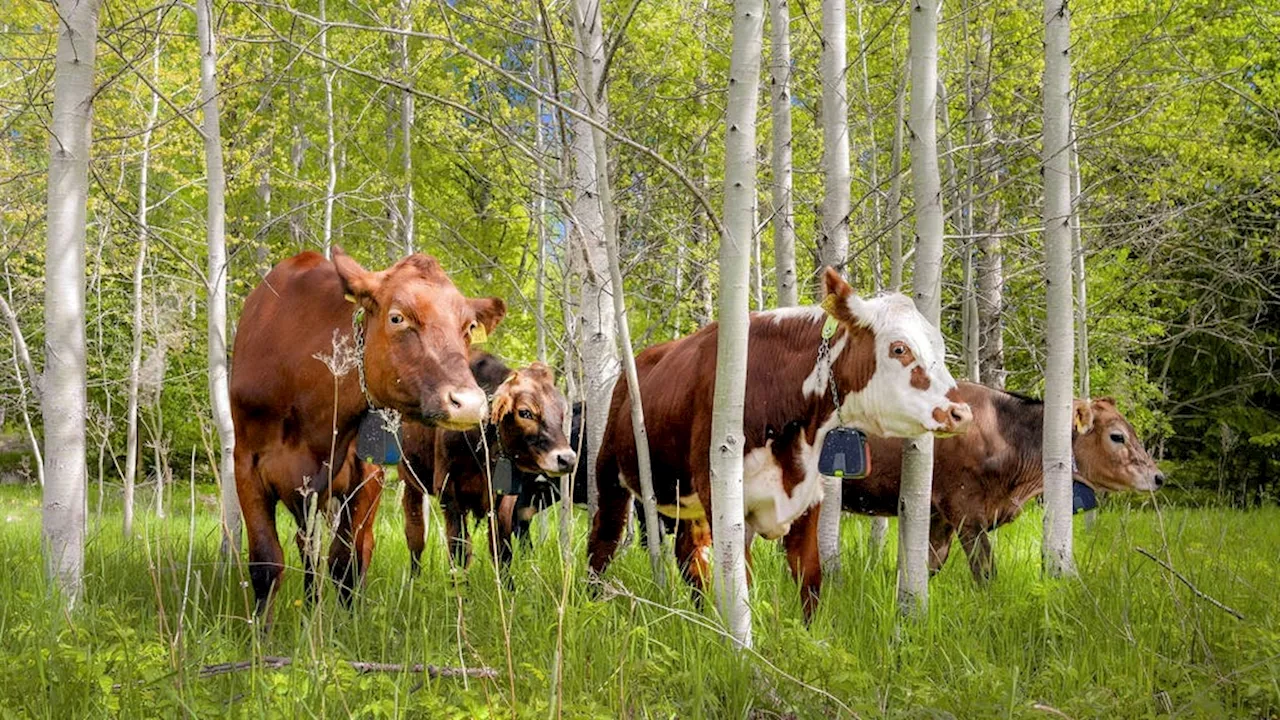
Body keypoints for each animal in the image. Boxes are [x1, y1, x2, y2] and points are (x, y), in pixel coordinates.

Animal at [230, 248, 504, 617]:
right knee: (308, 546)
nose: (470, 403)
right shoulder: (246, 464)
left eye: (469, 326)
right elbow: (266, 563)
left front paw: (348, 622)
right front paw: (263, 629)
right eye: (398, 318)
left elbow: (345, 561)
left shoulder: (366, 473)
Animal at [401, 351, 578, 571]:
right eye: (525, 412)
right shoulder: (448, 493)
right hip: (410, 482)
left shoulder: (505, 499)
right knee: (415, 538)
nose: (567, 459)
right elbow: (459, 551)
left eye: (562, 413)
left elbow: (502, 551)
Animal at [834, 381, 1167, 576]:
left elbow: (929, 565)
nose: (1158, 477)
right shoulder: (966, 510)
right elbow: (986, 572)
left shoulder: (939, 516)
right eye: (1117, 436)